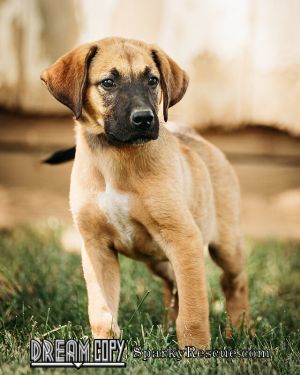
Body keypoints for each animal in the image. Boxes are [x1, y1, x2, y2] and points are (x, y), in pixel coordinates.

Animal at [41, 38, 250, 350]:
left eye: (153, 80)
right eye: (108, 82)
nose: (144, 119)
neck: (116, 158)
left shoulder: (183, 237)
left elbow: (194, 310)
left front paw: (196, 351)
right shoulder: (95, 246)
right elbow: (101, 311)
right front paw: (103, 347)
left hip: (224, 244)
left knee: (233, 281)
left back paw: (241, 331)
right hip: (159, 258)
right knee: (172, 286)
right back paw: (168, 327)